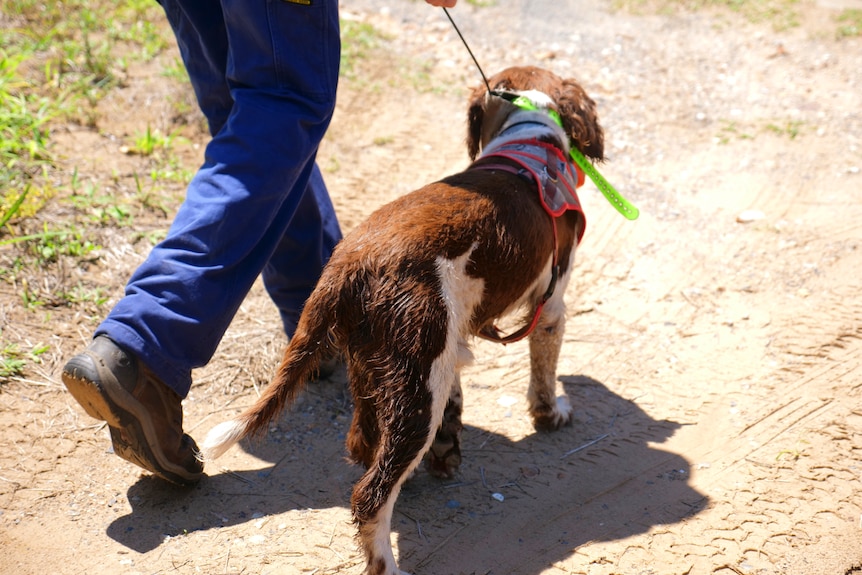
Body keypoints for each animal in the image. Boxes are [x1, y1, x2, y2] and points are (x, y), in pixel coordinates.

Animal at [202, 65, 608, 572]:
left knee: (363, 446)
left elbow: (456, 402)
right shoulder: (550, 305)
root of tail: (347, 264)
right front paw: (553, 415)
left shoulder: (452, 342)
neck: (526, 135)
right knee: (370, 494)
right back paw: (388, 559)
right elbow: (544, 377)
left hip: (380, 365)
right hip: (416, 385)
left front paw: (447, 455)